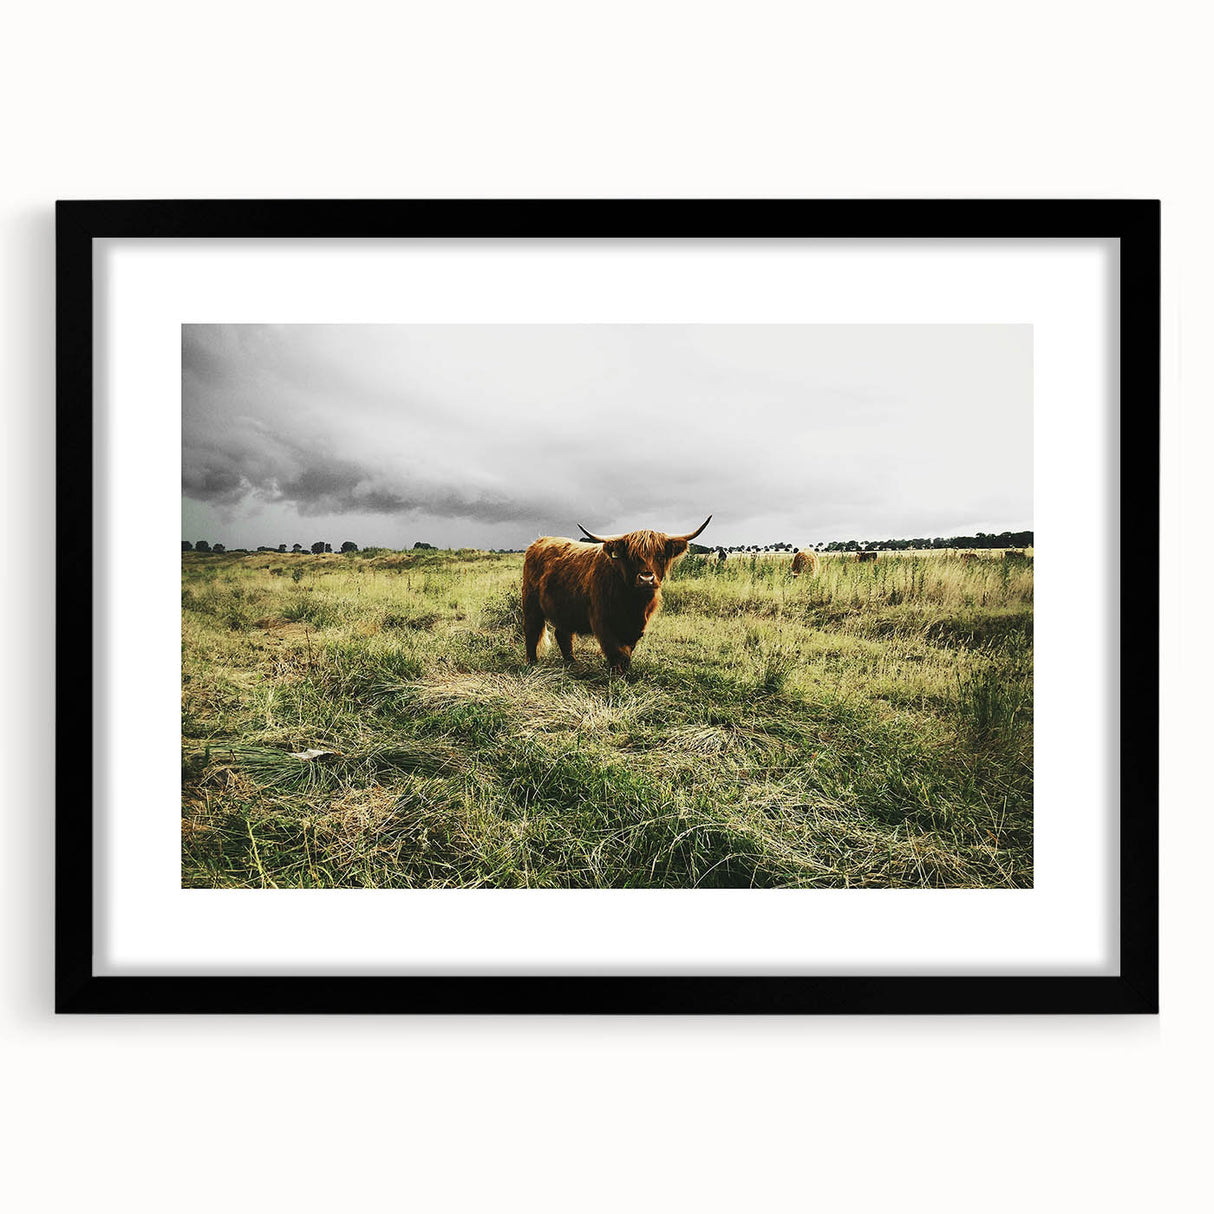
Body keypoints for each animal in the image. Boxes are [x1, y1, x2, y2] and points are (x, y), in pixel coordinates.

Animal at [522, 516, 712, 673]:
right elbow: (616, 651)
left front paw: (625, 672)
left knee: (563, 634)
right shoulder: (602, 621)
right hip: (531, 603)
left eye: (660, 555)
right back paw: (532, 663)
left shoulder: (636, 627)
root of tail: (539, 541)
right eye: (632, 556)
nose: (646, 579)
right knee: (532, 630)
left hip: (565, 608)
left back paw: (572, 662)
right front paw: (617, 675)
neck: (633, 604)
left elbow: (627, 651)